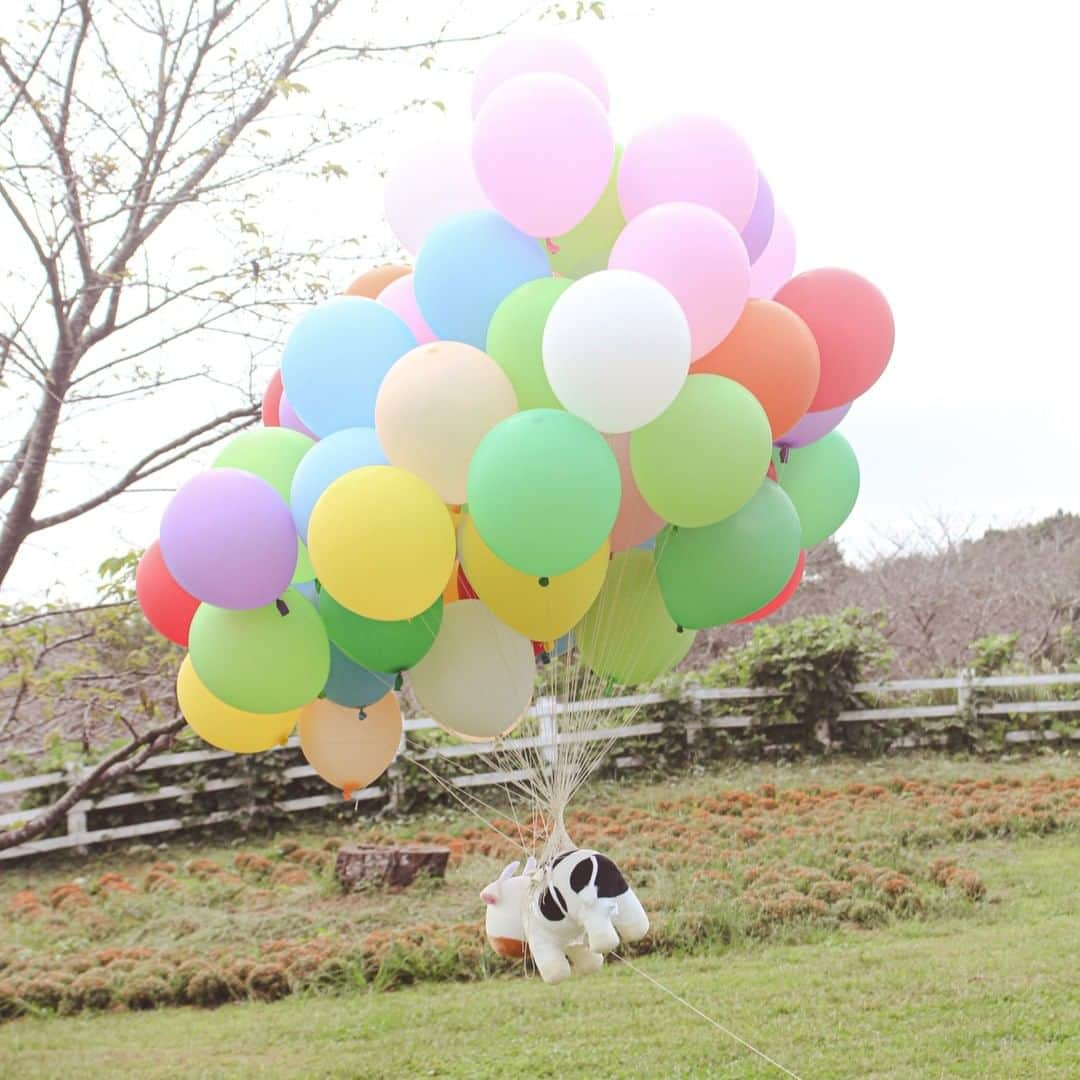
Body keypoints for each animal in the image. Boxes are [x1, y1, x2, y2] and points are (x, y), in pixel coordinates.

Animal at [481, 846, 648, 984]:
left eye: (491, 919)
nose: (498, 947)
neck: (521, 898)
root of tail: (592, 861)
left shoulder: (538, 935)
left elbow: (552, 966)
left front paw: (556, 976)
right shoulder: (570, 938)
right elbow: (582, 955)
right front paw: (591, 965)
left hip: (590, 908)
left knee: (599, 925)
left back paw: (604, 943)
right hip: (621, 892)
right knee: (633, 917)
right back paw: (638, 930)